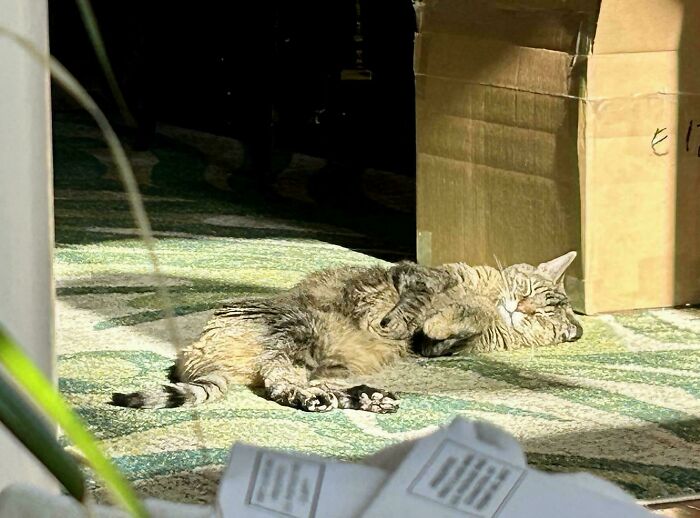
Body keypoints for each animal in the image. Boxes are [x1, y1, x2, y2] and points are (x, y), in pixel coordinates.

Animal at [112, 252, 584, 414]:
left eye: (542, 317)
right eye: (530, 292)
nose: (520, 308)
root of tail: (194, 351)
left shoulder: (437, 348)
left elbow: (454, 327)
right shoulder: (417, 275)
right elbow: (421, 301)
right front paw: (413, 317)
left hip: (314, 353)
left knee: (285, 381)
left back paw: (364, 398)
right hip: (299, 328)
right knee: (277, 378)